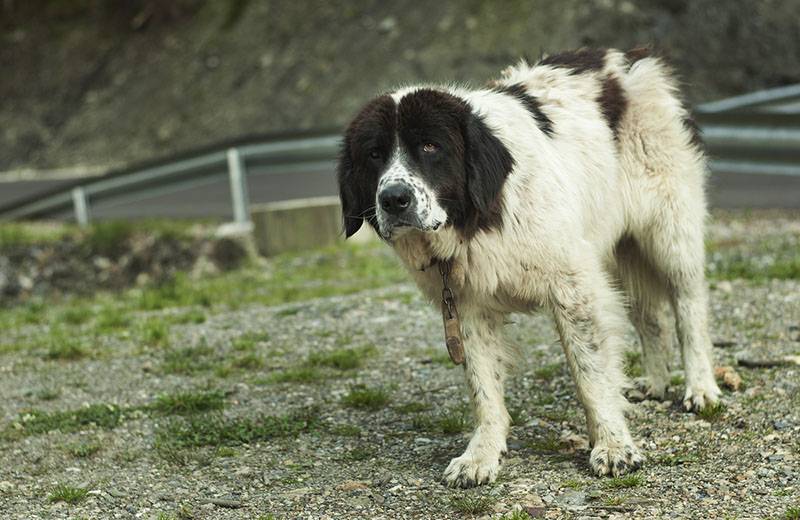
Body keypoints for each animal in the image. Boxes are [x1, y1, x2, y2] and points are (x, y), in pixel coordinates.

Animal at [334, 47, 720, 488]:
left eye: (430, 146)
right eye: (374, 154)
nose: (394, 199)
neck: (480, 218)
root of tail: (630, 57)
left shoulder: (573, 289)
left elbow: (591, 374)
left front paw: (613, 445)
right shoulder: (467, 307)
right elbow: (483, 387)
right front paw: (481, 454)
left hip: (669, 234)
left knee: (688, 308)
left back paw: (701, 387)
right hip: (619, 247)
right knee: (650, 315)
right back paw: (655, 384)